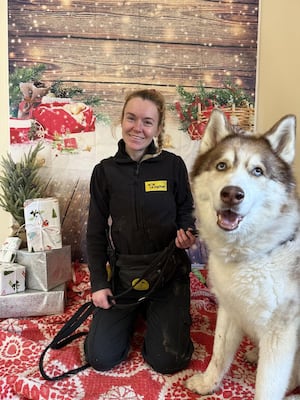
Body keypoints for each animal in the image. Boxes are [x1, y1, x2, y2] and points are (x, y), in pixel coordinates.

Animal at [186, 108, 298, 398]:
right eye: (221, 166)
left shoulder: (280, 336)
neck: (250, 254)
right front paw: (208, 383)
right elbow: (218, 353)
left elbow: (267, 387)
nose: (232, 194)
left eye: (257, 171)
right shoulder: (229, 308)